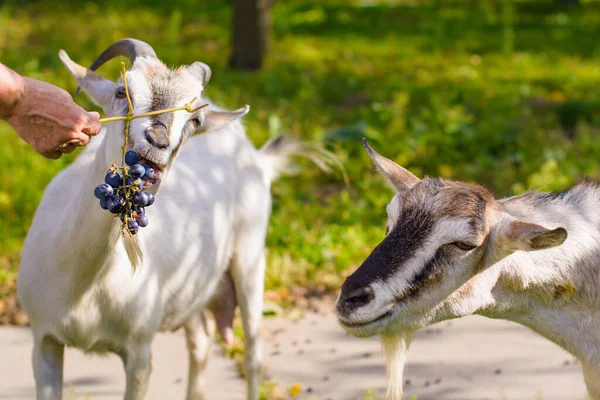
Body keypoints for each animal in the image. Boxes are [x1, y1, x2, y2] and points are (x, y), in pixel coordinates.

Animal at [16, 39, 322, 400]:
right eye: (121, 91)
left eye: (196, 120)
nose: (157, 142)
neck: (82, 286)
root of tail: (257, 158)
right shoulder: (44, 341)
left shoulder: (139, 350)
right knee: (201, 341)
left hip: (250, 257)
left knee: (252, 355)